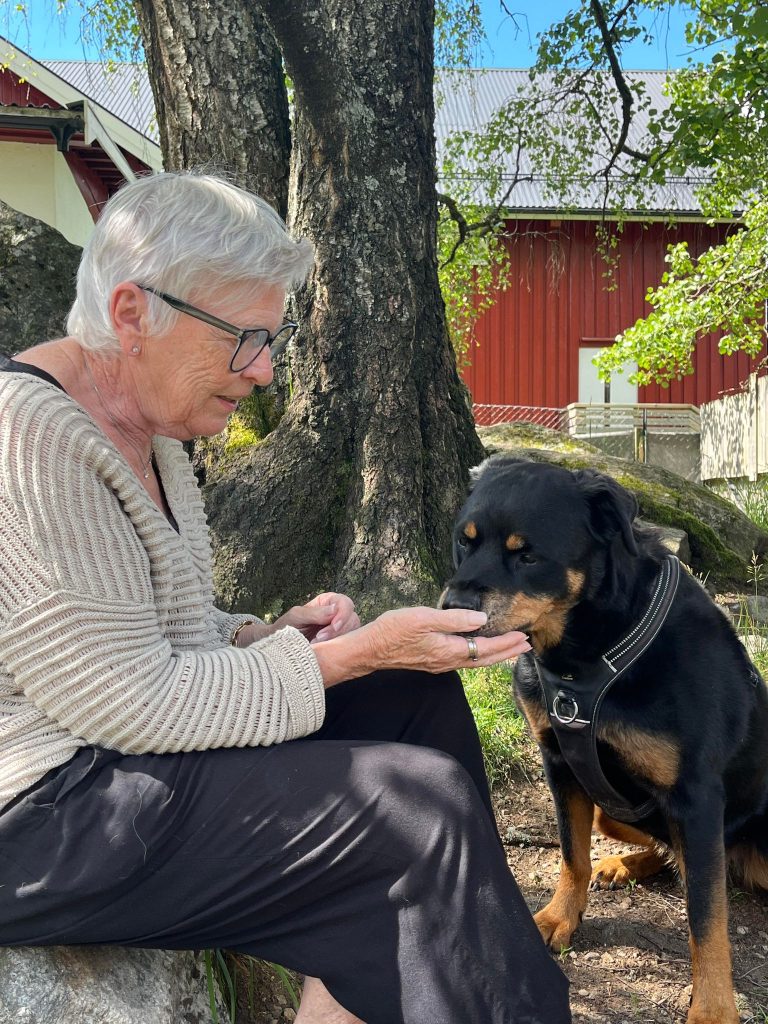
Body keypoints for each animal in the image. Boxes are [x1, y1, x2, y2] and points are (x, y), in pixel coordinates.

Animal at [438, 456, 768, 1024]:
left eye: (527, 554)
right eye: (465, 540)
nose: (453, 606)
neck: (589, 656)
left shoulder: (697, 797)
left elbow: (707, 919)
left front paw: (712, 1008)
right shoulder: (560, 763)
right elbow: (572, 854)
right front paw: (558, 918)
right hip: (613, 811)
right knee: (662, 851)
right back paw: (621, 865)